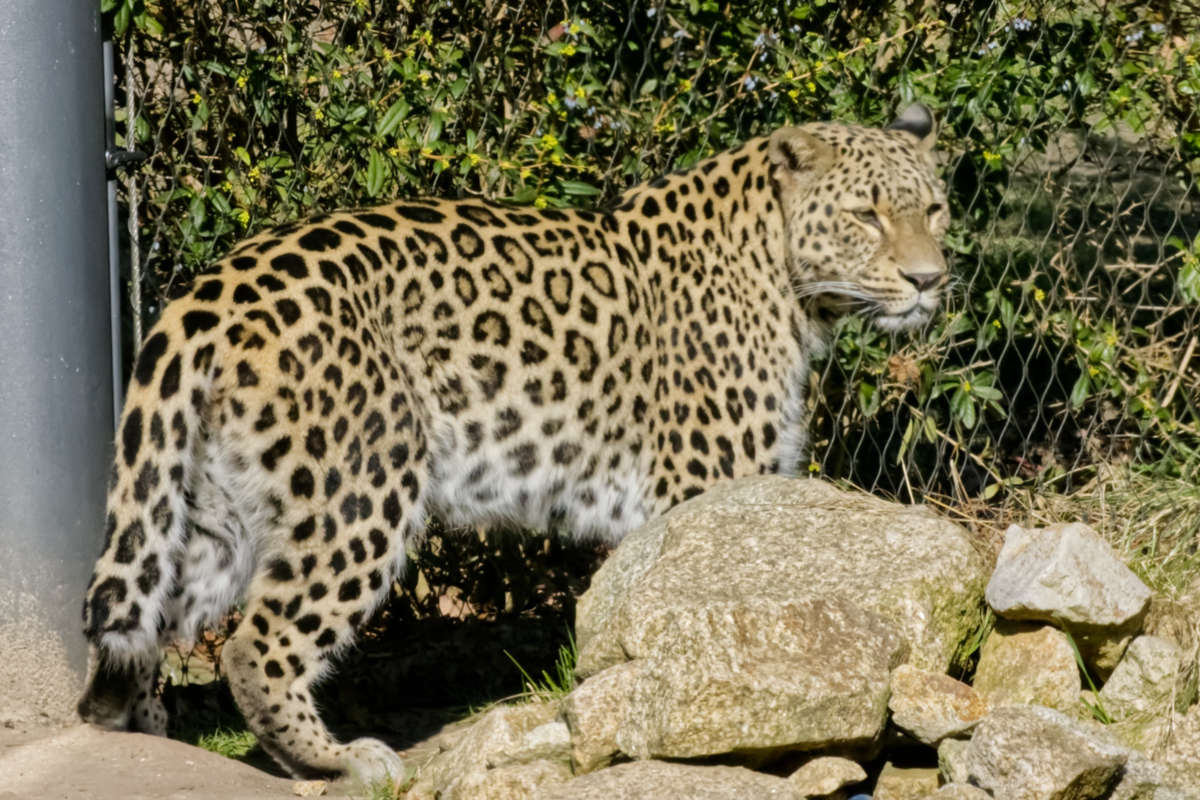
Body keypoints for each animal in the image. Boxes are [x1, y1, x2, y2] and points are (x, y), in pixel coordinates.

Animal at [78, 103, 949, 783]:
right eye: (866, 215)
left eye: (934, 210)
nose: (930, 280)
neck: (790, 282)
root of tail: (214, 289)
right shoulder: (707, 486)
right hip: (362, 487)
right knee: (258, 642)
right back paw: (338, 762)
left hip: (218, 506)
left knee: (150, 616)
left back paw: (146, 739)